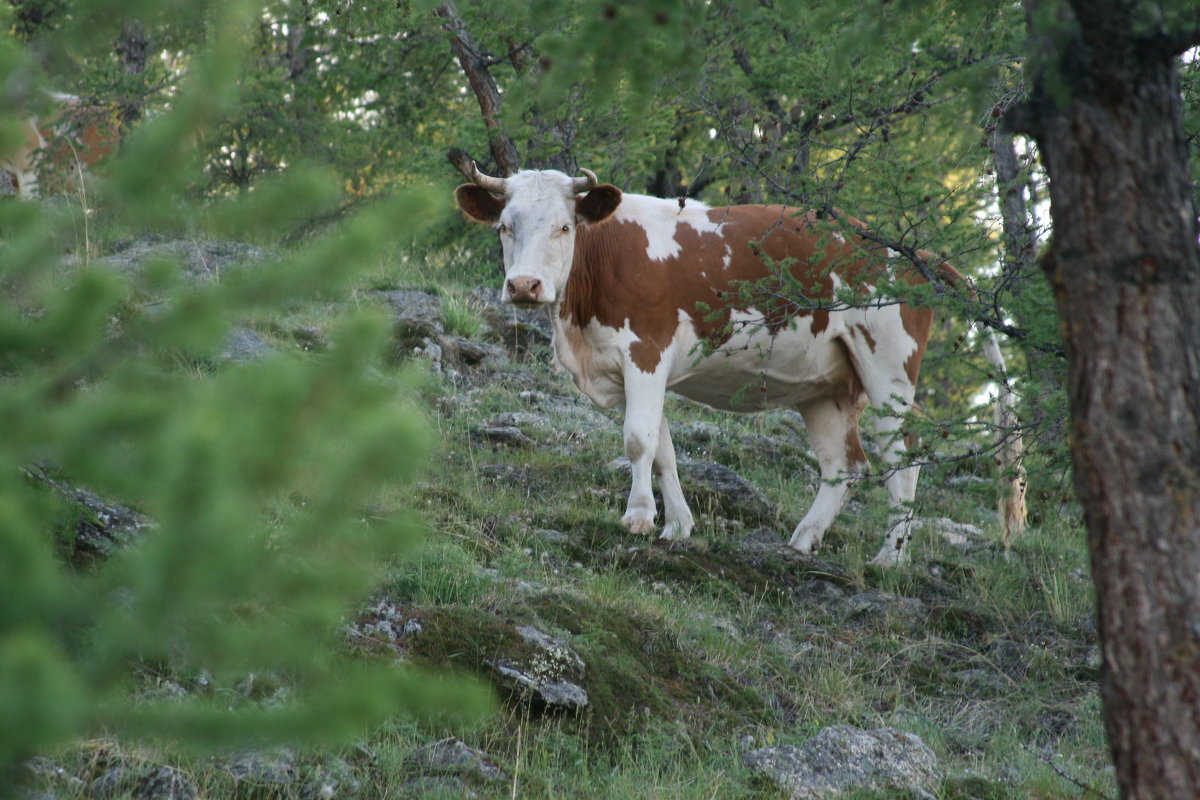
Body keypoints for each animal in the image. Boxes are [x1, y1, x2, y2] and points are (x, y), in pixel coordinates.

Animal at [451, 164, 964, 563]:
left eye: (564, 227)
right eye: (504, 226)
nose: (524, 285)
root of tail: (915, 253)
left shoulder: (646, 351)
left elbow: (638, 440)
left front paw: (638, 516)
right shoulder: (624, 368)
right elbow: (662, 449)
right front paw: (677, 525)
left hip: (888, 366)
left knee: (902, 457)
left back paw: (890, 559)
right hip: (829, 387)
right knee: (844, 464)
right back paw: (802, 541)